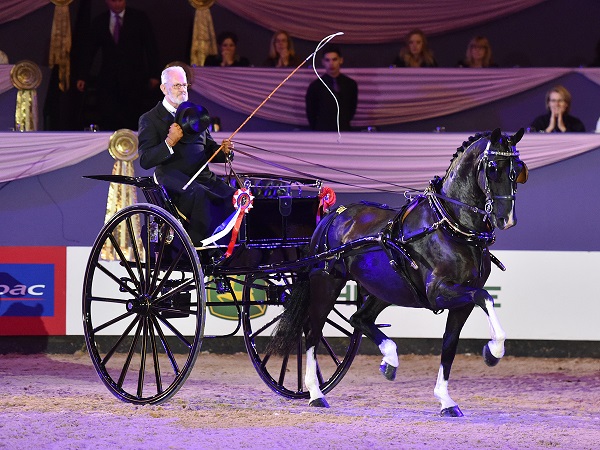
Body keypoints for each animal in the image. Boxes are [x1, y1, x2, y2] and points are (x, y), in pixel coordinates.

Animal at [270, 128, 528, 416]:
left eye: (518, 170)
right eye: (493, 167)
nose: (507, 219)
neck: (449, 225)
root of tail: (334, 214)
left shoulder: (462, 302)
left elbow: (450, 345)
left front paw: (446, 399)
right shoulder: (439, 291)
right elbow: (485, 296)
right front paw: (493, 351)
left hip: (385, 288)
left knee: (359, 319)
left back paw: (390, 360)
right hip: (327, 283)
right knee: (312, 330)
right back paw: (315, 393)